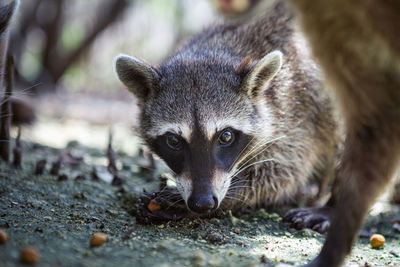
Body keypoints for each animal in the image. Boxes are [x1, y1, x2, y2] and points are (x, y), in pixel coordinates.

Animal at [115, 1, 338, 222]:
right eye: (173, 141)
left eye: (226, 136)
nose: (203, 202)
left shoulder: (295, 110)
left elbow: (282, 173)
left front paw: (230, 195)